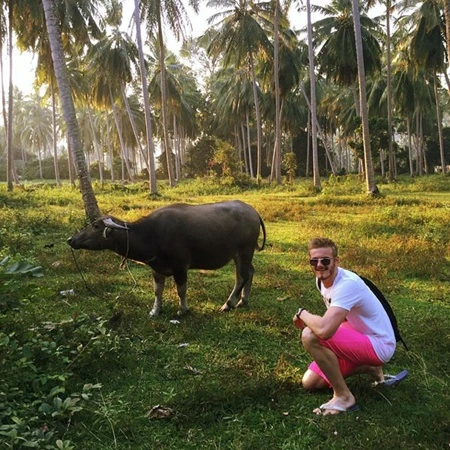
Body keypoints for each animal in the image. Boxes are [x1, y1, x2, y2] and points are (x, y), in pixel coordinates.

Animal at [66, 200, 268, 316]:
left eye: (95, 225)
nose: (71, 240)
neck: (150, 235)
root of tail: (253, 212)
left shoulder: (181, 267)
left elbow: (181, 290)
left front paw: (182, 310)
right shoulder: (157, 268)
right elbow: (158, 290)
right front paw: (155, 310)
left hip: (244, 251)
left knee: (242, 276)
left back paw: (228, 304)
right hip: (243, 254)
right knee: (249, 272)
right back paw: (243, 300)